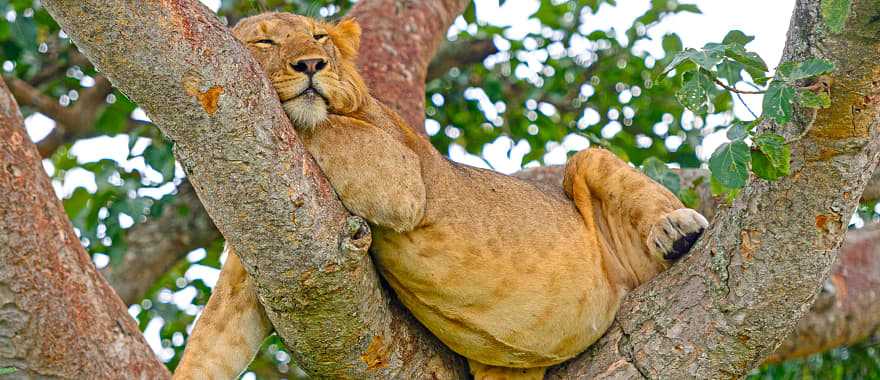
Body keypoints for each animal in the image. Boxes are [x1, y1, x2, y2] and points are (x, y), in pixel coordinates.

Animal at [172, 11, 708, 380]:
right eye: (264, 40)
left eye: (318, 37)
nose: (311, 64)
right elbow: (214, 341)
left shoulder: (403, 175)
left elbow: (322, 125)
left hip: (588, 166)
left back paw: (677, 230)